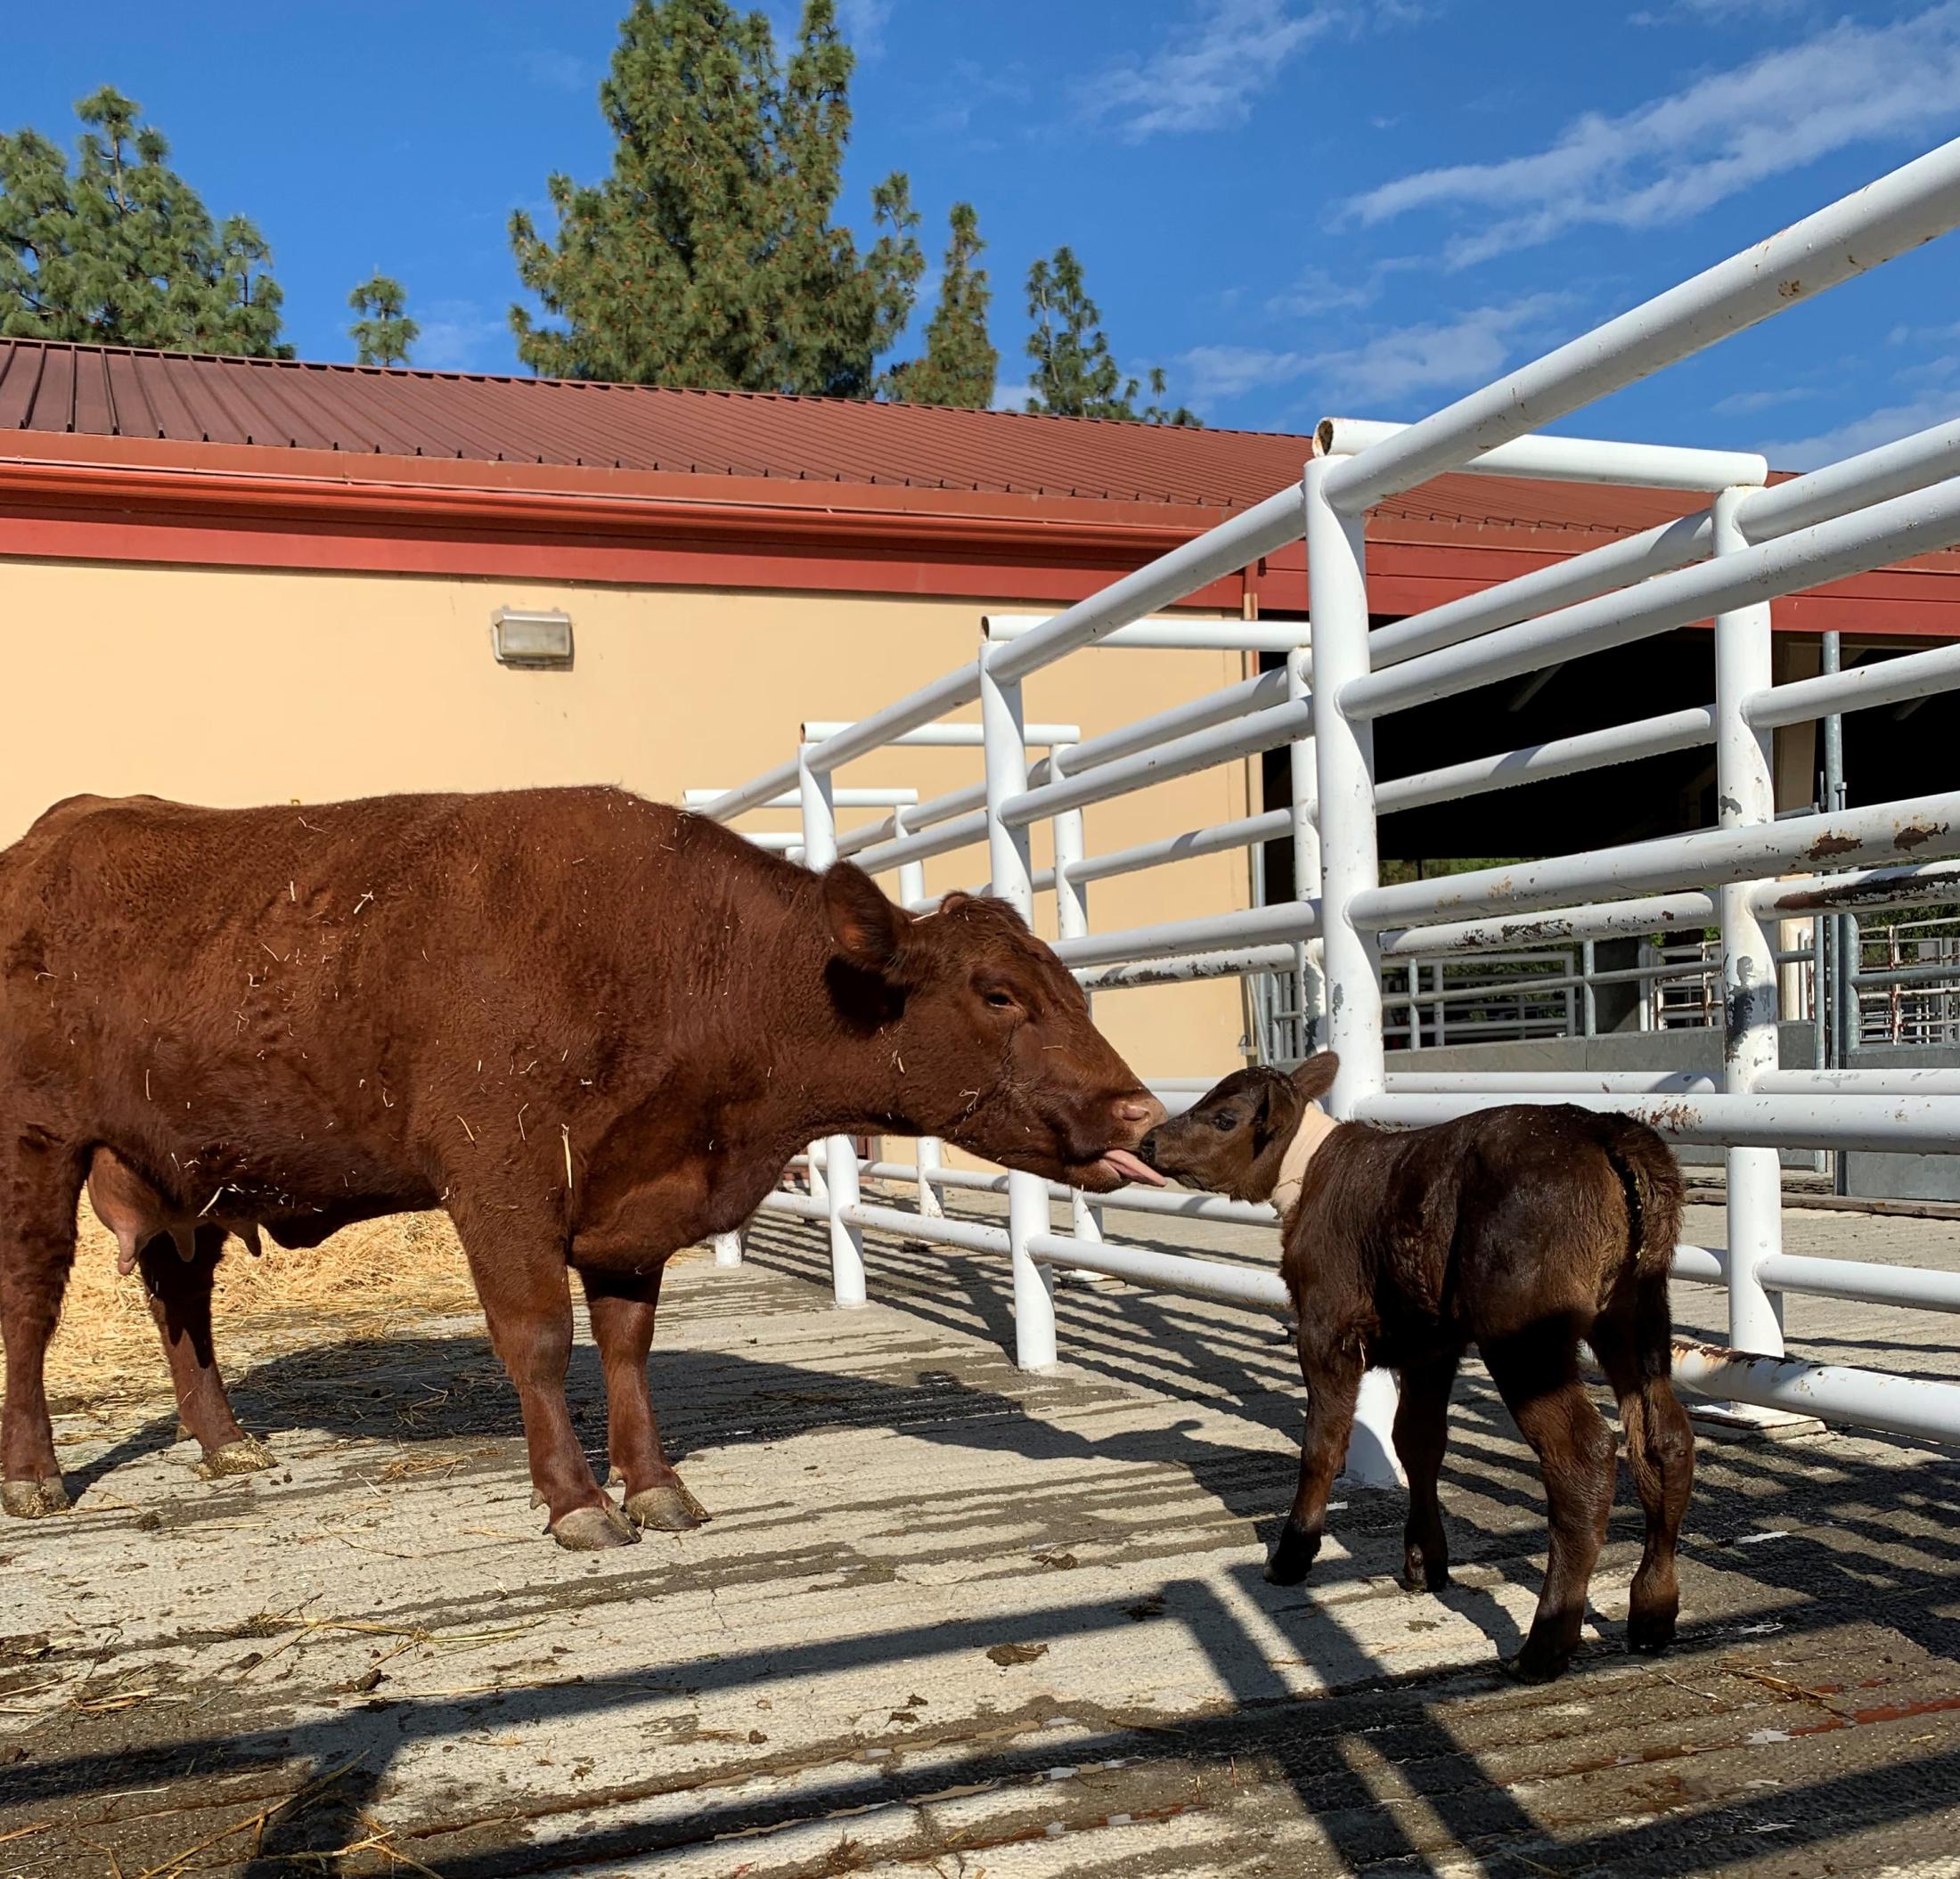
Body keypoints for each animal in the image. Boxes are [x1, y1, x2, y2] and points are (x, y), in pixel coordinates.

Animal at [0, 788, 1160, 1551]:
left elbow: (627, 1349)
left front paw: (653, 1485)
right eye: (998, 993)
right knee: (31, 1303)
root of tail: (60, 828)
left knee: (178, 1296)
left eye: (1072, 986)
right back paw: (35, 1475)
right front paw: (576, 1501)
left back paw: (226, 1443)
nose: (1141, 1111)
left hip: (177, 1170)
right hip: (37, 1144)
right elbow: (542, 1342)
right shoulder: (500, 1177)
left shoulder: (630, 1204)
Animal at [1144, 1058, 1693, 1693]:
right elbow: (1417, 1442)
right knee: (1664, 1439)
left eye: (1224, 1117)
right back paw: (1653, 1611)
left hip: (1524, 1333)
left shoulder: (1325, 1326)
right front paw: (1424, 1562)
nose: (1149, 1140)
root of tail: (1606, 1129)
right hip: (1637, 1311)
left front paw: (1292, 1555)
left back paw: (1544, 1647)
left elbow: (1322, 1445)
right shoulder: (1431, 1345)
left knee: (1584, 1452)